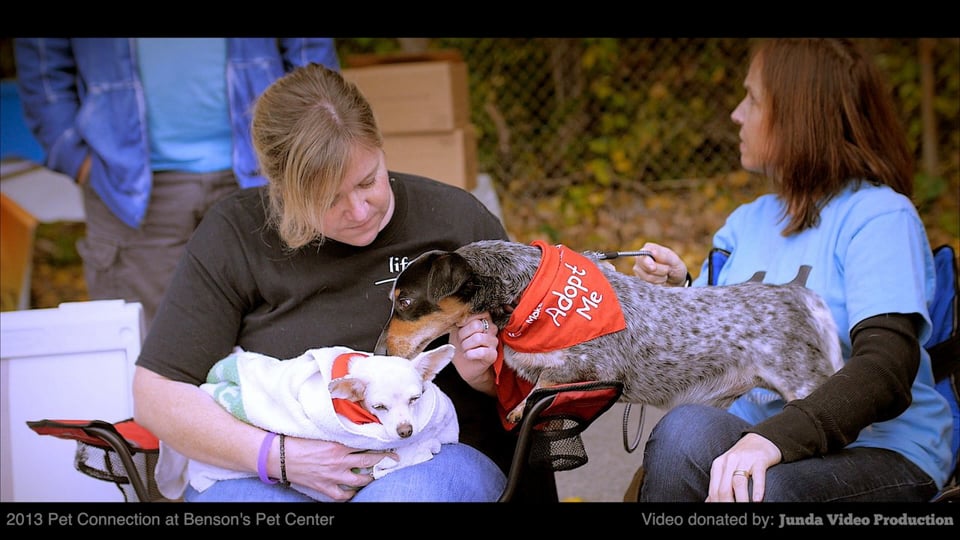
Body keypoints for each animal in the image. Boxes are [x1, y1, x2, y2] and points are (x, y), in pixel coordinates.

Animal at [376, 239, 840, 422]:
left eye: (405, 301)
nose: (379, 352)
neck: (528, 295)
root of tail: (798, 294)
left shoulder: (586, 369)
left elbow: (543, 384)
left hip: (806, 386)